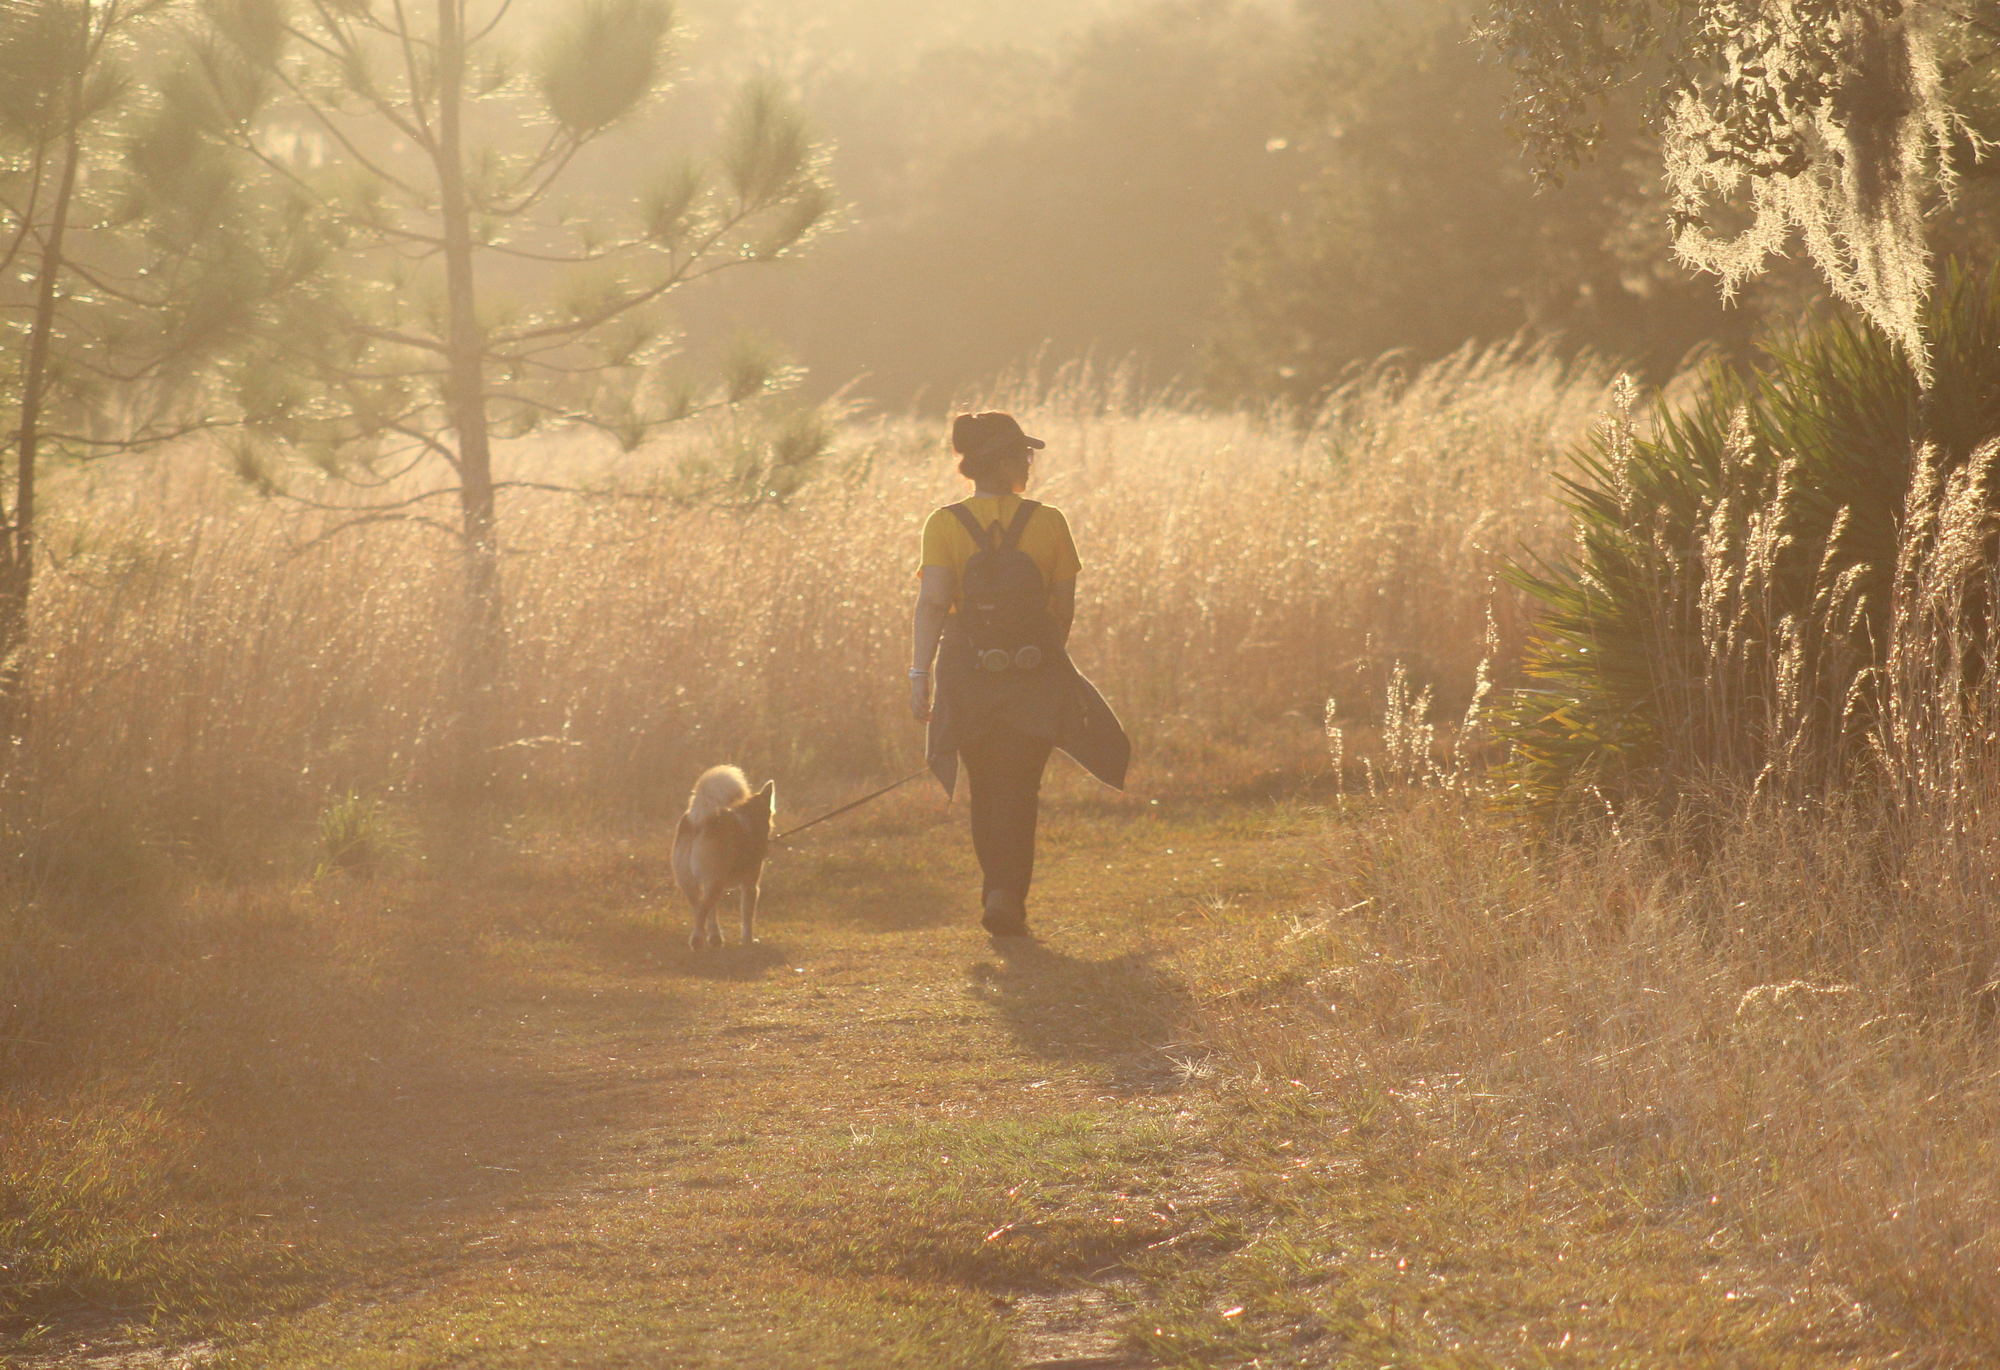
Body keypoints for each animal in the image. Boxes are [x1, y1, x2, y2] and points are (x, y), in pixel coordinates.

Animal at [668, 764, 768, 944]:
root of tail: (700, 820)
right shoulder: (750, 886)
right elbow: (747, 918)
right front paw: (748, 940)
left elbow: (712, 913)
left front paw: (714, 934)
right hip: (715, 881)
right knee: (702, 909)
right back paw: (698, 939)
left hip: (690, 882)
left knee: (699, 908)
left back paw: (710, 938)